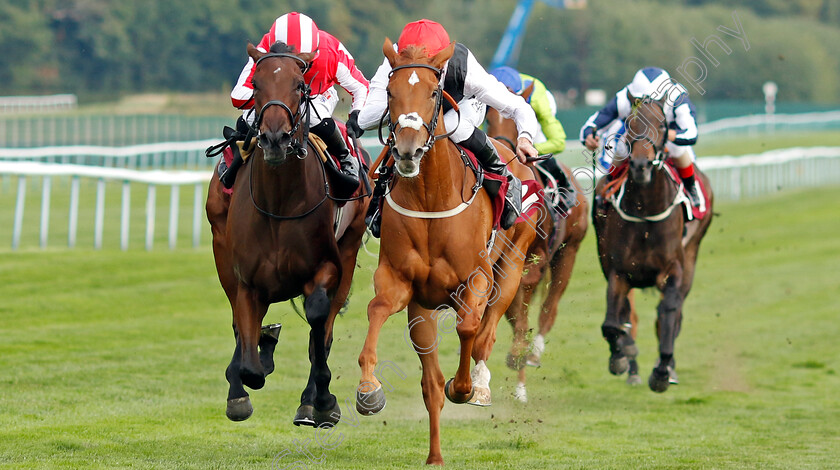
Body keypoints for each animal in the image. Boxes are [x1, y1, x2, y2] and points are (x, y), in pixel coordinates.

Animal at [204, 44, 368, 424]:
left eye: (299, 84)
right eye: (256, 83)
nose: (275, 138)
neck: (278, 204)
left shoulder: (326, 267)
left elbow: (318, 321)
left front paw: (321, 400)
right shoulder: (246, 280)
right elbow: (249, 358)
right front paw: (243, 384)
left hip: (350, 246)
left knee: (323, 329)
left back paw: (311, 400)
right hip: (221, 249)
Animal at [356, 40, 540, 466]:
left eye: (433, 93)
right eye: (390, 93)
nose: (406, 150)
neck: (429, 197)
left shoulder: (475, 279)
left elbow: (469, 328)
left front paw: (466, 387)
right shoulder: (401, 284)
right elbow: (377, 309)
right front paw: (369, 388)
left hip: (511, 266)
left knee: (486, 334)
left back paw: (480, 385)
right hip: (422, 309)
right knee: (430, 383)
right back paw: (435, 455)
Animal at [592, 96, 716, 392]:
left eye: (661, 125)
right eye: (629, 124)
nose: (640, 165)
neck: (645, 211)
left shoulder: (673, 270)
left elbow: (668, 313)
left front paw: (662, 371)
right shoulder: (618, 272)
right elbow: (612, 322)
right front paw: (621, 355)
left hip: (692, 256)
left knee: (673, 313)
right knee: (626, 315)